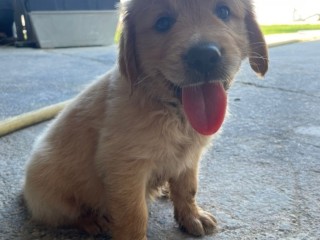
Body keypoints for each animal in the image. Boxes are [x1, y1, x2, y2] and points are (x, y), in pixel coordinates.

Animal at [23, 0, 268, 239]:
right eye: (162, 23)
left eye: (224, 12)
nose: (204, 56)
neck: (172, 112)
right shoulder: (124, 166)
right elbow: (134, 215)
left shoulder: (190, 157)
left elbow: (188, 188)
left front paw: (191, 216)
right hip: (50, 192)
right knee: (68, 214)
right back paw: (91, 220)